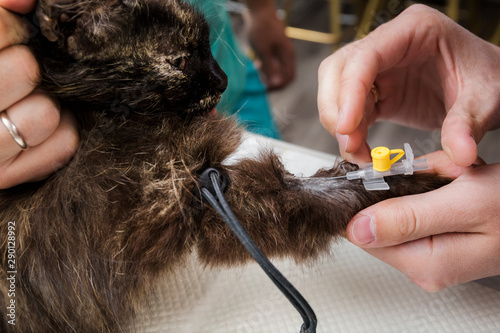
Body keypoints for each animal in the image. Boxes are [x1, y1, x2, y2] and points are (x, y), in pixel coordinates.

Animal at [0, 0, 452, 330]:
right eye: (180, 60)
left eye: (208, 47)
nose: (222, 80)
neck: (105, 119)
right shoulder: (168, 202)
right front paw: (418, 183)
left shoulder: (212, 191)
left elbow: (316, 187)